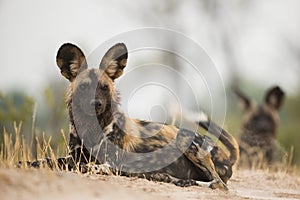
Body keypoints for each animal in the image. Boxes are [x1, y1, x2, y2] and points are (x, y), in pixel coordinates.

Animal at [28, 41, 240, 189]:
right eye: (83, 87)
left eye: (104, 87)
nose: (95, 104)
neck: (91, 128)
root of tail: (225, 154)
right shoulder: (72, 156)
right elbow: (45, 161)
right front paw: (28, 163)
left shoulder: (108, 164)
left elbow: (81, 167)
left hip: (185, 140)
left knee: (219, 184)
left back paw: (190, 183)